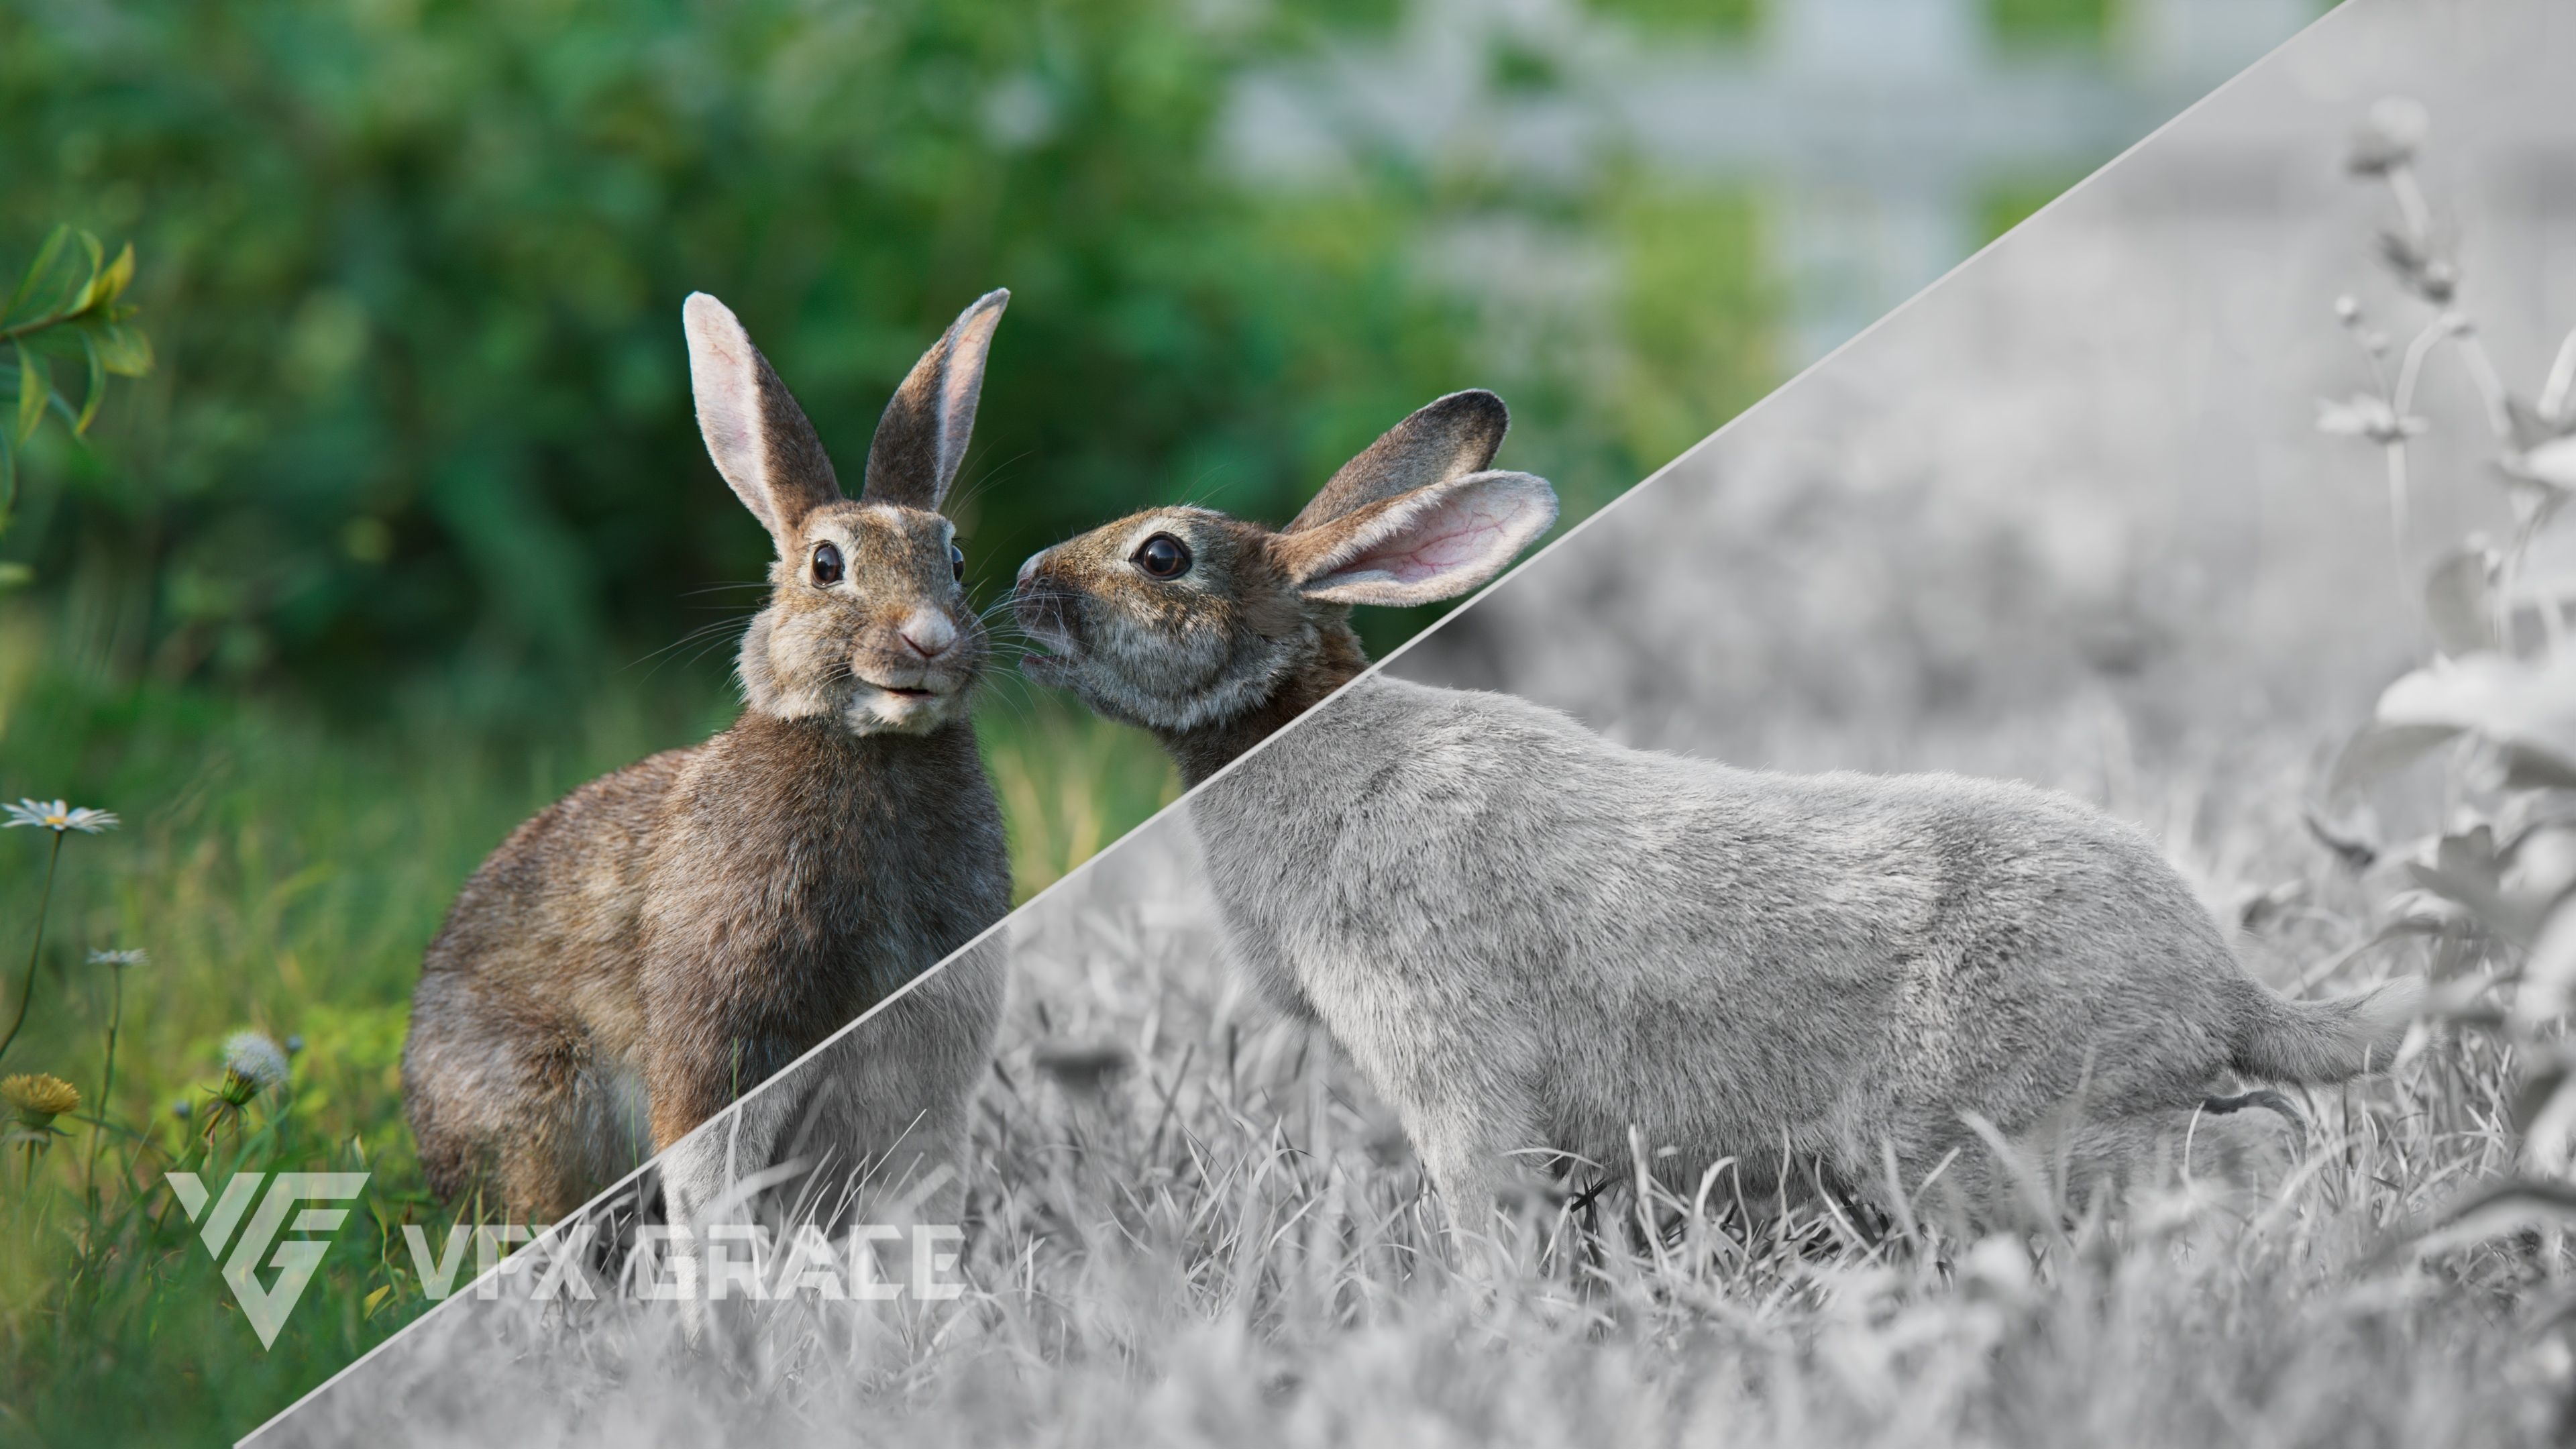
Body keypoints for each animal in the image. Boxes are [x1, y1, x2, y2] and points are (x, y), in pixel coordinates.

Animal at [402, 289, 1014, 1238]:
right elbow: (709, 1167)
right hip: (546, 1103)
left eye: (952, 558)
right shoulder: (722, 1030)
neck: (869, 747)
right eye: (826, 566)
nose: (930, 639)